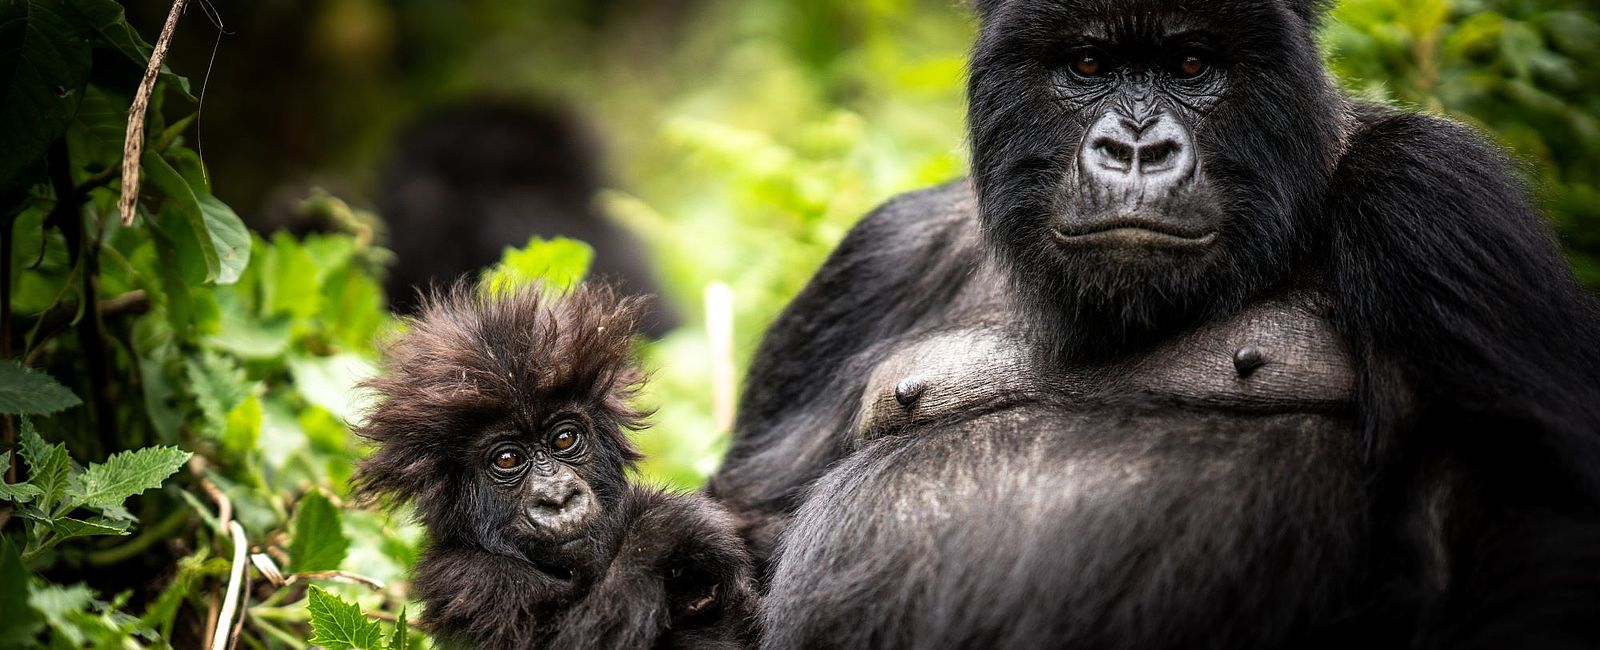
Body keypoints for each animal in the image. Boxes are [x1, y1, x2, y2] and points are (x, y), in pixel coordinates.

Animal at [707, 1, 1600, 650]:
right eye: (1088, 66)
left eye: (1192, 65)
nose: (1135, 147)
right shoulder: (876, 261)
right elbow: (749, 519)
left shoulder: (1438, 199)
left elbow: (1519, 515)